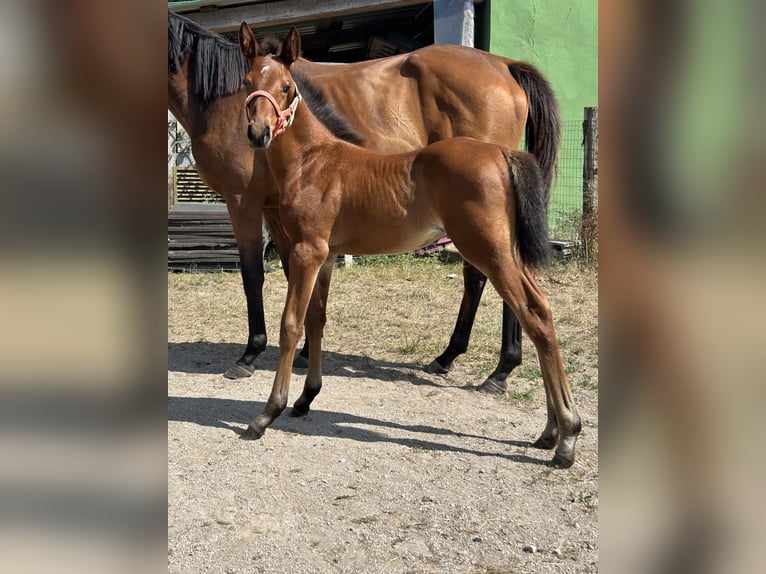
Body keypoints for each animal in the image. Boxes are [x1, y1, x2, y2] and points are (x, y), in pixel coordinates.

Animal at [167, 10, 561, 394]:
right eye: (245, 85)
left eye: (286, 88)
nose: (257, 134)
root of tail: (505, 64)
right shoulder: (277, 211)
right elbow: (296, 279)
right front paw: (306, 350)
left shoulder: (243, 202)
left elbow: (253, 275)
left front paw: (250, 354)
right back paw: (458, 359)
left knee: (488, 278)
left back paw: (498, 370)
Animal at [238, 25, 580, 468]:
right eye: (247, 83)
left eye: (286, 87)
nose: (258, 133)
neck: (315, 160)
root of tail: (502, 153)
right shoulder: (325, 257)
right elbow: (317, 321)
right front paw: (306, 398)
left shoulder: (305, 251)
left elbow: (291, 324)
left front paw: (267, 413)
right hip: (504, 250)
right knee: (540, 308)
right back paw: (551, 431)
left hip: (488, 249)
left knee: (533, 313)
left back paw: (566, 434)